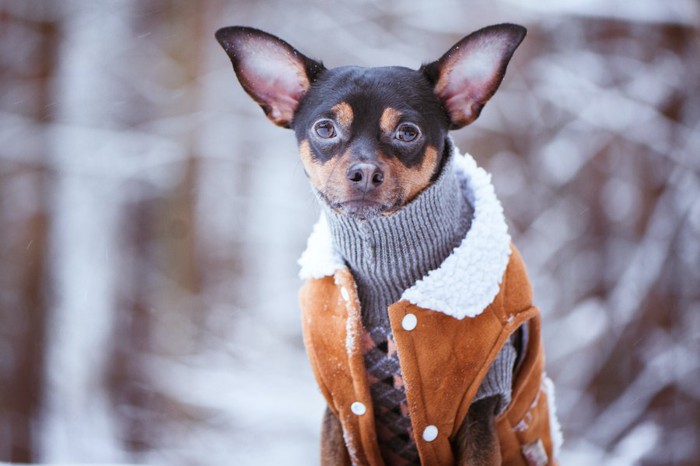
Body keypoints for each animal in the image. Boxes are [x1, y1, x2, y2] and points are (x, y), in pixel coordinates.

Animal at [216, 24, 560, 466]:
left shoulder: (481, 406)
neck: (384, 263)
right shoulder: (341, 413)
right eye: (324, 128)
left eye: (407, 132)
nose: (364, 172)